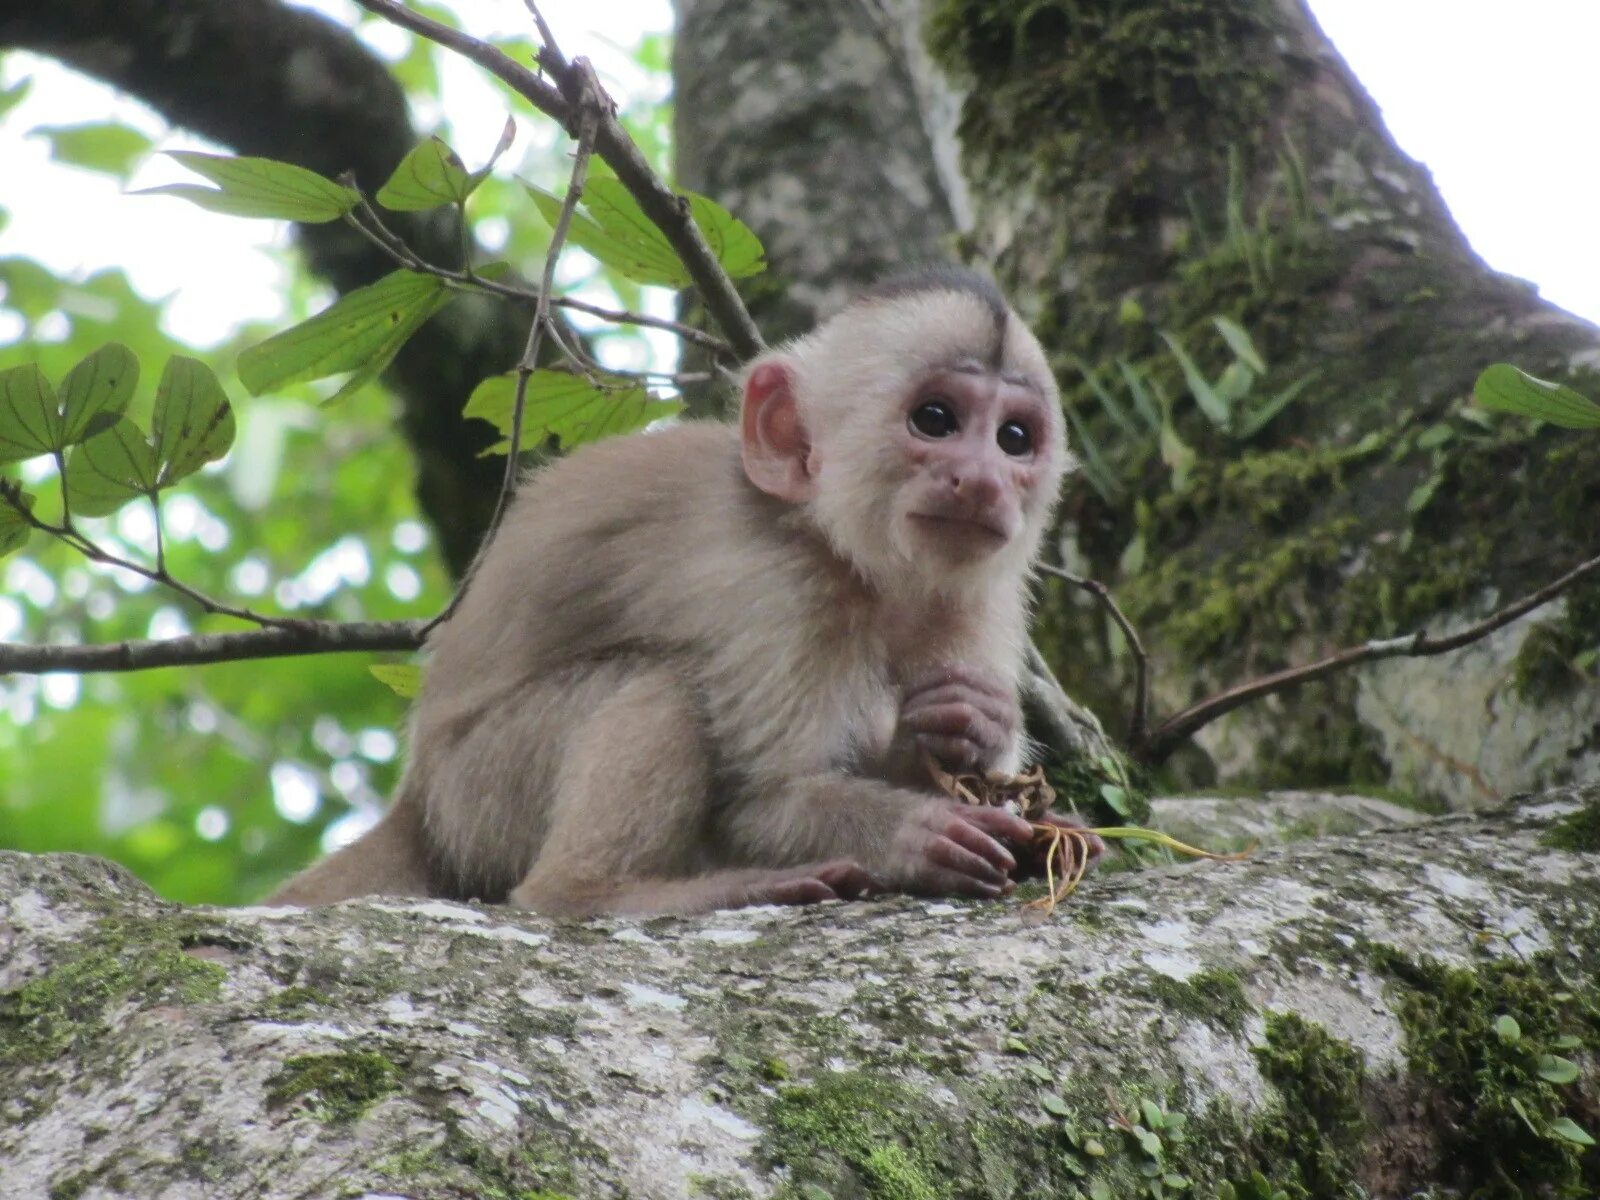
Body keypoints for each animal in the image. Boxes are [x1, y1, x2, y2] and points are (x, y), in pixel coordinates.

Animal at [275, 267, 1100, 915]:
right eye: (936, 419)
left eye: (1014, 439)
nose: (984, 481)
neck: (842, 551)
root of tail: (418, 803)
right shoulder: (772, 587)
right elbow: (753, 805)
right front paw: (911, 832)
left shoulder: (981, 597)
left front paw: (972, 727)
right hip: (480, 793)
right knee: (661, 687)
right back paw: (595, 894)